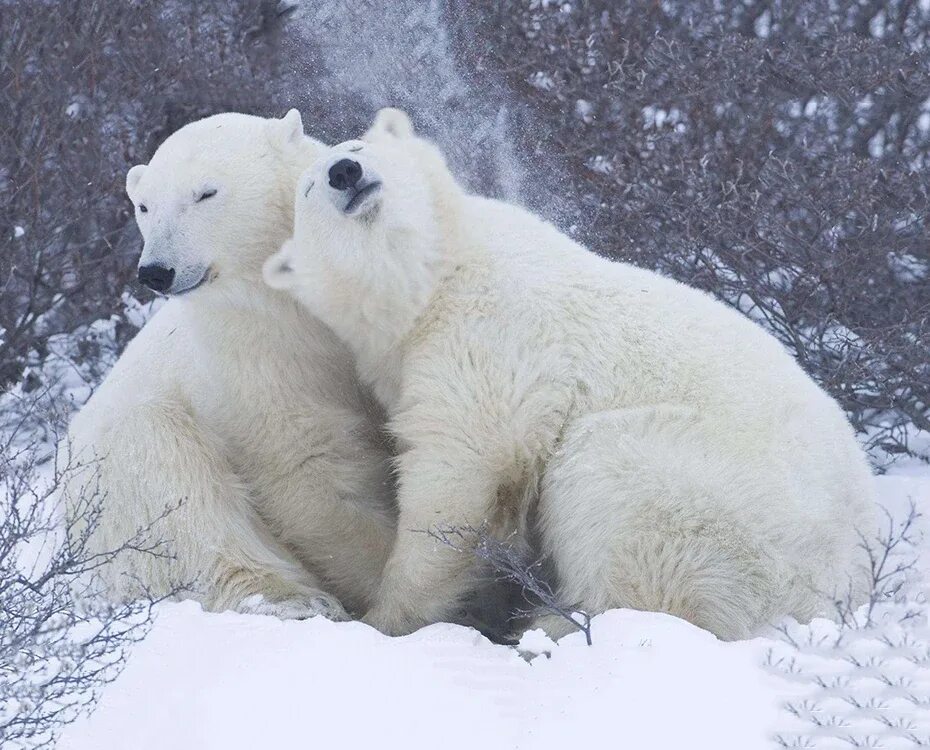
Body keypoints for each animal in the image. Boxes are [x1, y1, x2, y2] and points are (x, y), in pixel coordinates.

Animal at [63, 108, 394, 620]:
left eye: (205, 193)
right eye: (145, 206)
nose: (156, 271)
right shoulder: (252, 358)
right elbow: (309, 464)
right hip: (115, 481)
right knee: (174, 484)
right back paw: (293, 600)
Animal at [262, 110, 876, 640]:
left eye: (359, 147)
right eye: (309, 189)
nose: (345, 172)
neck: (434, 277)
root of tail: (846, 582)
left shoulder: (491, 334)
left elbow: (461, 468)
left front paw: (387, 617)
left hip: (720, 496)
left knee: (614, 486)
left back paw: (553, 624)